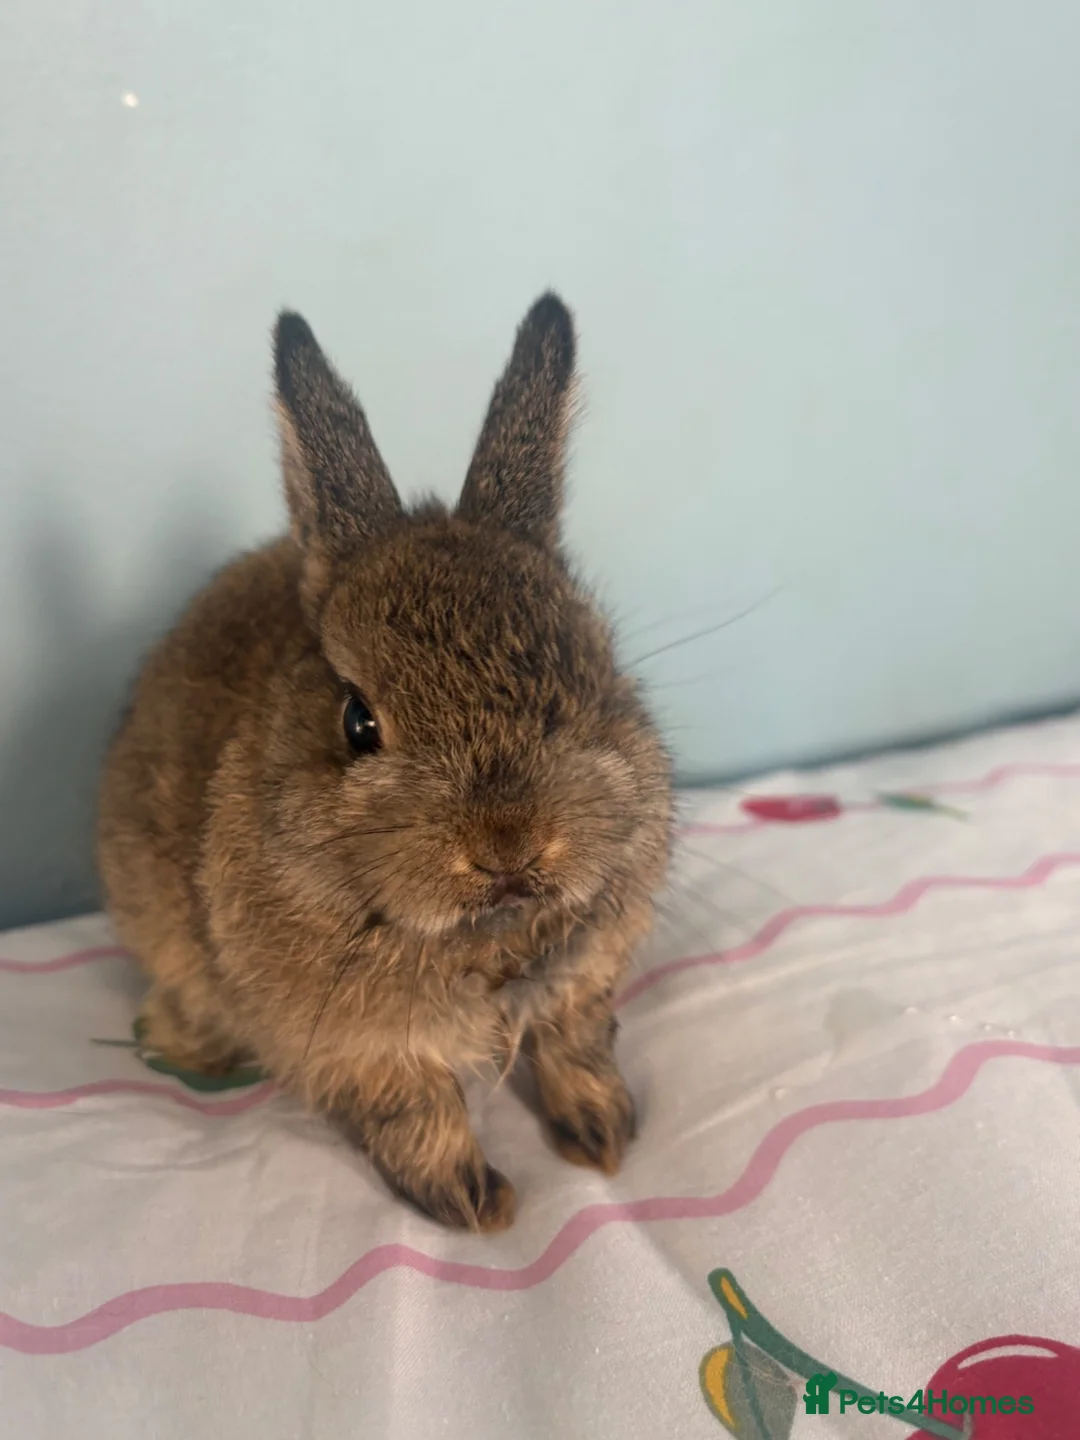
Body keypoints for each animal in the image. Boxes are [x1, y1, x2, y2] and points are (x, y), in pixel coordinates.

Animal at [97, 292, 673, 1232]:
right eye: (359, 722)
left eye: (590, 675)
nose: (509, 845)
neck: (480, 937)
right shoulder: (361, 1048)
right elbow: (419, 1115)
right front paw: (477, 1205)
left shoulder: (579, 988)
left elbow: (576, 1052)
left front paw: (603, 1136)